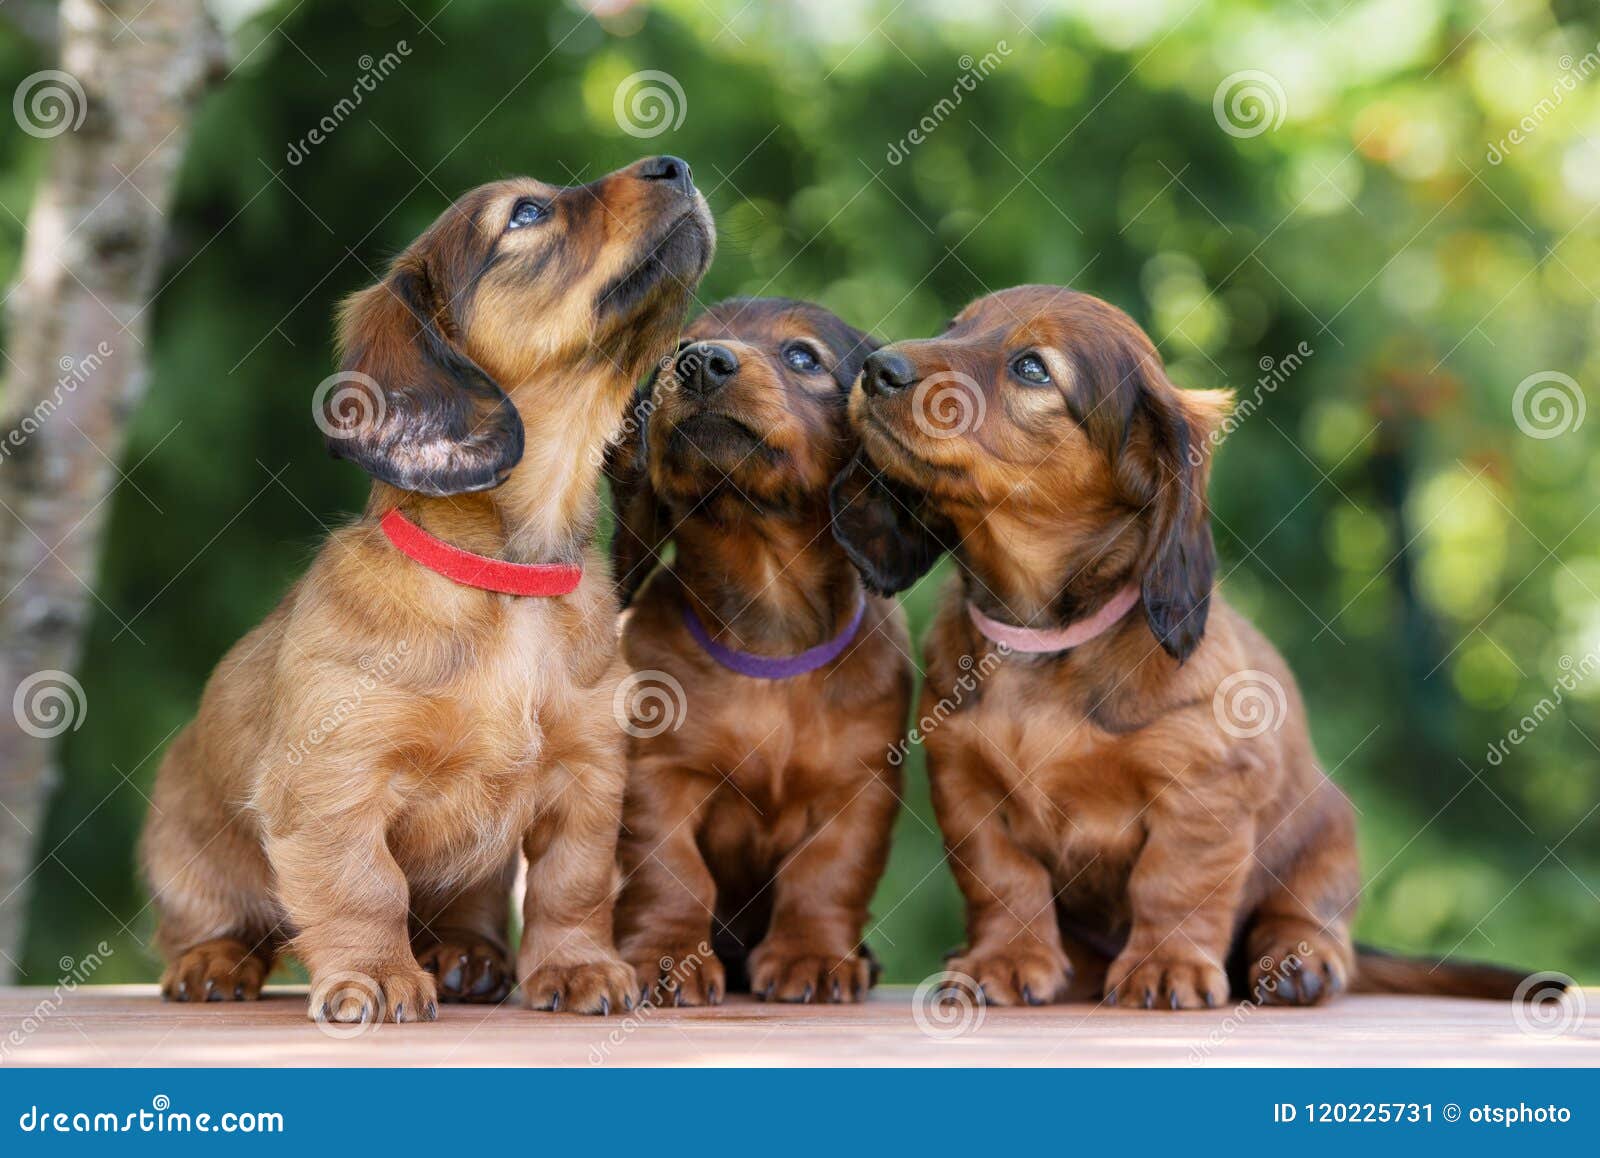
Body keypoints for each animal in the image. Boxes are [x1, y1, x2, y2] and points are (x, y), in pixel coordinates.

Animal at [601, 299, 915, 1004]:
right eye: (676, 349)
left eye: (801, 356)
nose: (698, 362)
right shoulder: (659, 776)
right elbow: (672, 872)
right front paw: (667, 957)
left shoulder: (858, 788)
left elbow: (825, 875)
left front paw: (812, 957)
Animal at [832, 287, 1555, 1004]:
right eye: (953, 326)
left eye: (1032, 368)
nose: (877, 369)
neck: (1045, 638)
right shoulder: (966, 785)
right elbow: (1004, 878)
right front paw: (1006, 959)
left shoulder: (1203, 784)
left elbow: (1174, 881)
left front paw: (1166, 964)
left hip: (1329, 833)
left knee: (1314, 920)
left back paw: (1299, 958)